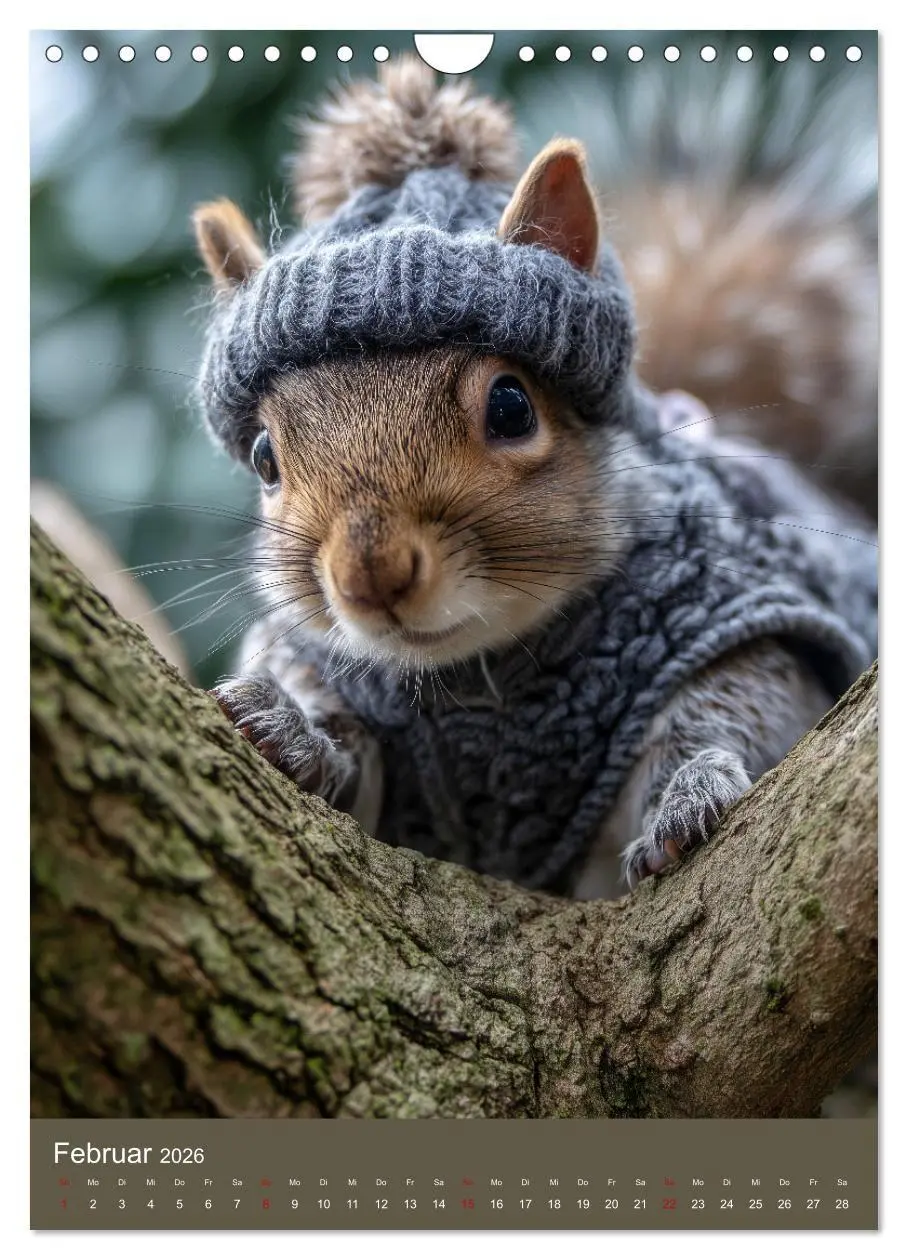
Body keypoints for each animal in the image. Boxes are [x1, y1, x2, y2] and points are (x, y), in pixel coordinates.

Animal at [192, 56, 877, 901]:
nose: (369, 576)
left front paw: (687, 793)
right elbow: (348, 756)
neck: (479, 676)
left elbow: (738, 709)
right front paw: (291, 729)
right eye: (264, 455)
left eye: (512, 406)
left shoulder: (735, 614)